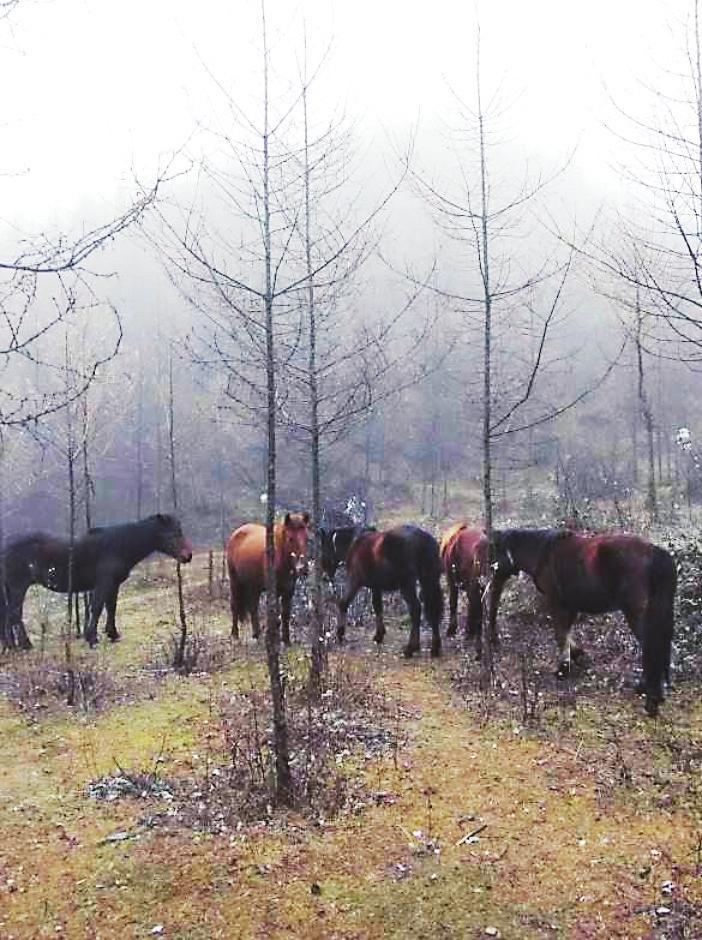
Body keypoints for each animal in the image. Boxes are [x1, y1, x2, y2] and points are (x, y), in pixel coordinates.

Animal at [0, 514, 193, 650]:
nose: (187, 556)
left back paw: (12, 646)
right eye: (172, 533)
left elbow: (111, 607)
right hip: (18, 587)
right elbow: (98, 607)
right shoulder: (104, 583)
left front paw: (112, 634)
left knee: (8, 616)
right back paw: (26, 645)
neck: (118, 544)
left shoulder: (113, 585)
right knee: (14, 614)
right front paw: (92, 638)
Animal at [226, 512, 310, 644]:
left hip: (253, 587)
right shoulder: (273, 591)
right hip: (235, 582)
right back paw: (235, 635)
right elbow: (275, 616)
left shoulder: (289, 590)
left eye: (307, 538)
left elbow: (285, 614)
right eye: (290, 539)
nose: (302, 568)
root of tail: (236, 533)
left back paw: (256, 635)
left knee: (253, 608)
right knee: (235, 605)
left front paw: (286, 640)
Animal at [337, 525, 444, 658]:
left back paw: (410, 648)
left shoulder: (354, 581)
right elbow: (378, 607)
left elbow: (343, 603)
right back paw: (434, 648)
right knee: (433, 609)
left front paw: (340, 633)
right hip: (429, 580)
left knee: (415, 609)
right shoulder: (376, 587)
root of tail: (422, 538)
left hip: (407, 585)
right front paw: (379, 634)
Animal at [490, 527, 677, 717]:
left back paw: (650, 698)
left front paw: (563, 668)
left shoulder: (555, 602)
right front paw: (577, 654)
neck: (543, 552)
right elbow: (566, 631)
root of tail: (654, 552)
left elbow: (560, 633)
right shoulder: (570, 606)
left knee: (650, 646)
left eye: (494, 552)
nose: (490, 580)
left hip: (636, 613)